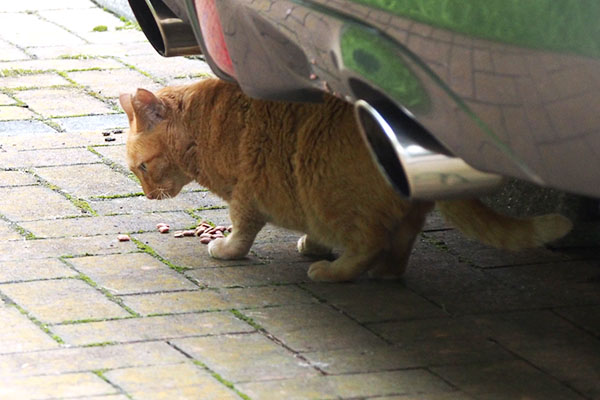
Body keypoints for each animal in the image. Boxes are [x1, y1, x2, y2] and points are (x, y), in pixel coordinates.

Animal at [118, 79, 572, 282]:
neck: (199, 127)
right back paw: (383, 273)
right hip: (393, 214)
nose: (148, 195)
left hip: (331, 193)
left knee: (369, 243)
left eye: (142, 169)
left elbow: (243, 231)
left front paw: (226, 249)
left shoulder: (247, 193)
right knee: (396, 247)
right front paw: (313, 243)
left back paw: (333, 272)